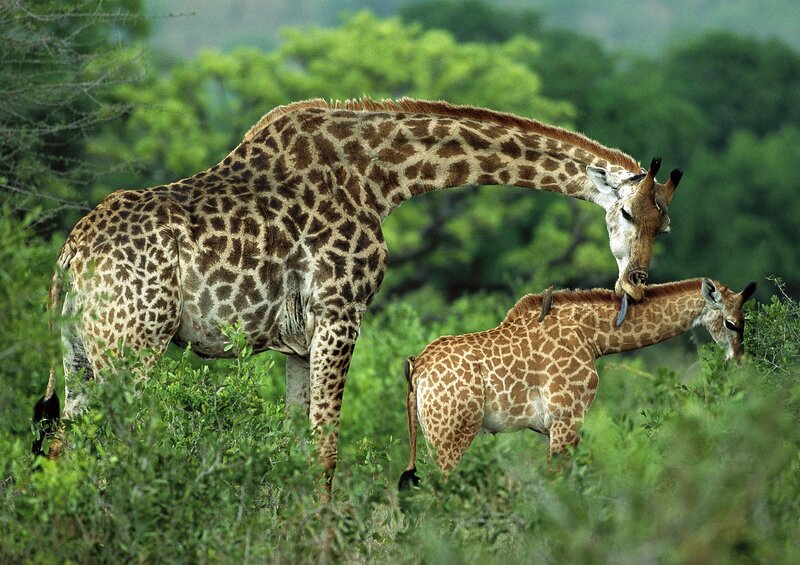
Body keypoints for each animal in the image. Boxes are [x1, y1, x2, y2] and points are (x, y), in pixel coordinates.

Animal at [32, 98, 682, 490]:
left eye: (665, 225)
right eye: (627, 211)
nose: (634, 282)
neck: (383, 178)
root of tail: (70, 257)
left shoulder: (297, 341)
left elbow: (296, 446)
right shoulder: (340, 313)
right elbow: (327, 451)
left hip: (80, 351)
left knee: (64, 444)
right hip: (132, 346)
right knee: (112, 447)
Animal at [398, 278, 757, 488]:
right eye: (731, 323)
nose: (739, 362)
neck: (593, 337)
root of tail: (417, 366)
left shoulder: (551, 427)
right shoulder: (567, 417)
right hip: (452, 434)